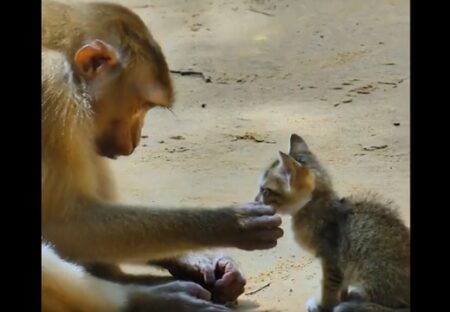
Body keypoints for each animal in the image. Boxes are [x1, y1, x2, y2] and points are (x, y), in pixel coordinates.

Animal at [41, 1, 282, 310]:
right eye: (141, 105)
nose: (134, 140)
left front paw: (193, 259)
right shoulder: (53, 89)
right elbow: (63, 224)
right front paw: (227, 223)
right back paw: (142, 298)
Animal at [255, 134, 410, 312]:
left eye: (265, 190)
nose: (255, 199)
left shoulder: (332, 261)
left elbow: (328, 289)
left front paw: (324, 306)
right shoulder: (340, 266)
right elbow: (342, 286)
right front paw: (343, 297)